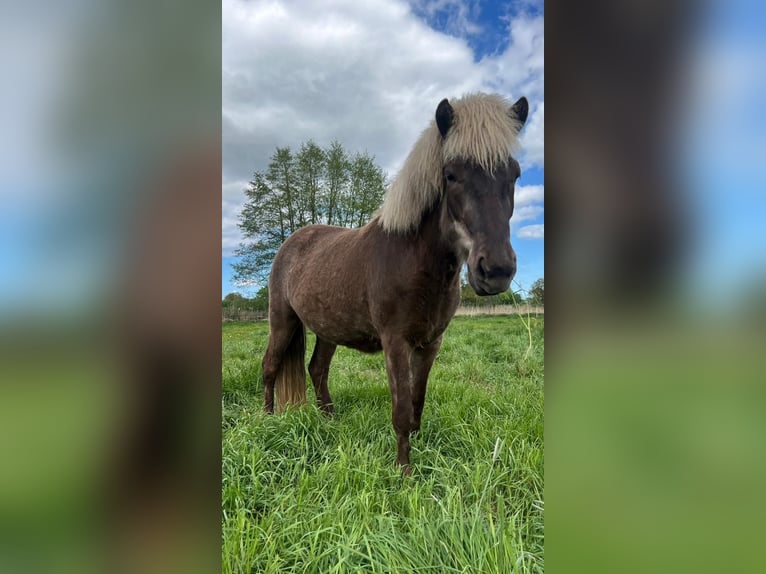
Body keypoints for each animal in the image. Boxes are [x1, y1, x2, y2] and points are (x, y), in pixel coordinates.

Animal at [262, 93, 528, 473]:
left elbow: (417, 402)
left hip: (328, 329)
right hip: (281, 320)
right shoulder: (395, 343)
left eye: (515, 174)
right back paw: (268, 419)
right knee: (270, 367)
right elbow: (401, 410)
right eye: (451, 175)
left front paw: (419, 452)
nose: (495, 270)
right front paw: (404, 472)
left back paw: (330, 421)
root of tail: (291, 243)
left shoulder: (430, 344)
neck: (414, 261)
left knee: (317, 370)